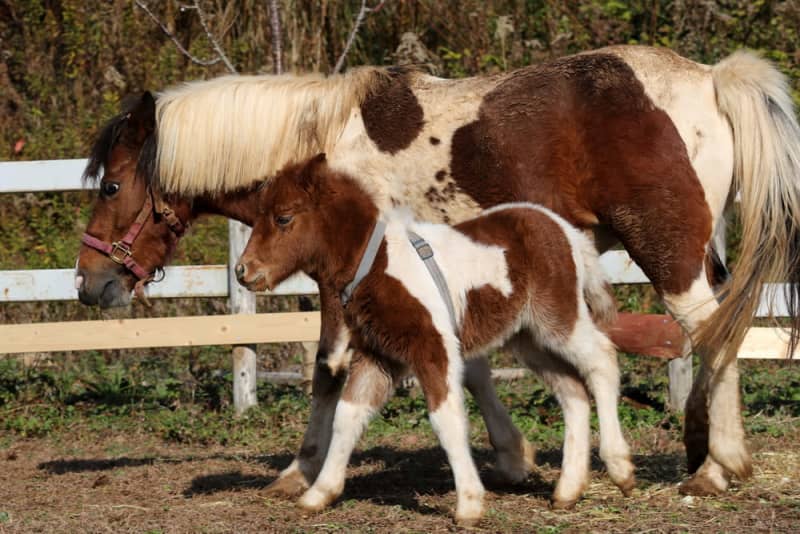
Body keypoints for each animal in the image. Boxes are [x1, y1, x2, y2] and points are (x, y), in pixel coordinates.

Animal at [234, 154, 636, 524]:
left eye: (283, 218)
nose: (243, 271)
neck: (375, 262)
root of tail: (563, 228)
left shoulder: (432, 346)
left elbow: (447, 418)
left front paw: (470, 504)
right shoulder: (377, 355)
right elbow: (348, 415)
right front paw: (319, 493)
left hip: (558, 319)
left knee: (601, 360)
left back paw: (619, 467)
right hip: (528, 338)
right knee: (572, 390)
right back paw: (568, 490)